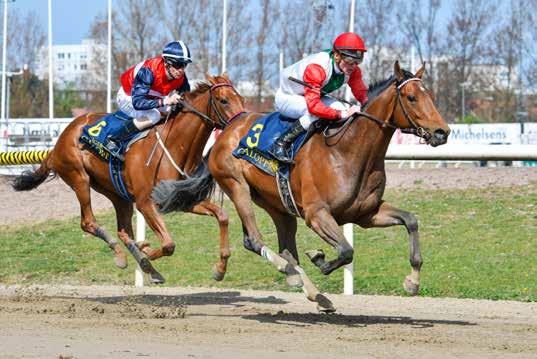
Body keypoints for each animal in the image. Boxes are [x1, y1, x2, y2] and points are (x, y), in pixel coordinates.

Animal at [12, 74, 244, 286]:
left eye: (241, 98)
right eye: (223, 100)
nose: (240, 127)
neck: (174, 145)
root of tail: (59, 142)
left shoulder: (181, 198)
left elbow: (222, 216)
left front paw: (220, 269)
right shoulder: (145, 202)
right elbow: (168, 245)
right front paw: (146, 251)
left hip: (117, 193)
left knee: (123, 231)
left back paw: (146, 265)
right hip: (79, 177)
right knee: (88, 222)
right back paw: (122, 254)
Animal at [153, 62, 450, 312]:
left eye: (430, 96)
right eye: (411, 97)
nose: (442, 132)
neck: (349, 151)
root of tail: (227, 130)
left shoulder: (367, 213)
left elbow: (410, 220)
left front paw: (412, 281)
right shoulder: (317, 214)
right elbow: (346, 251)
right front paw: (319, 258)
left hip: (278, 205)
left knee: (283, 248)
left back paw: (313, 292)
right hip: (237, 186)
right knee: (255, 239)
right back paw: (290, 273)